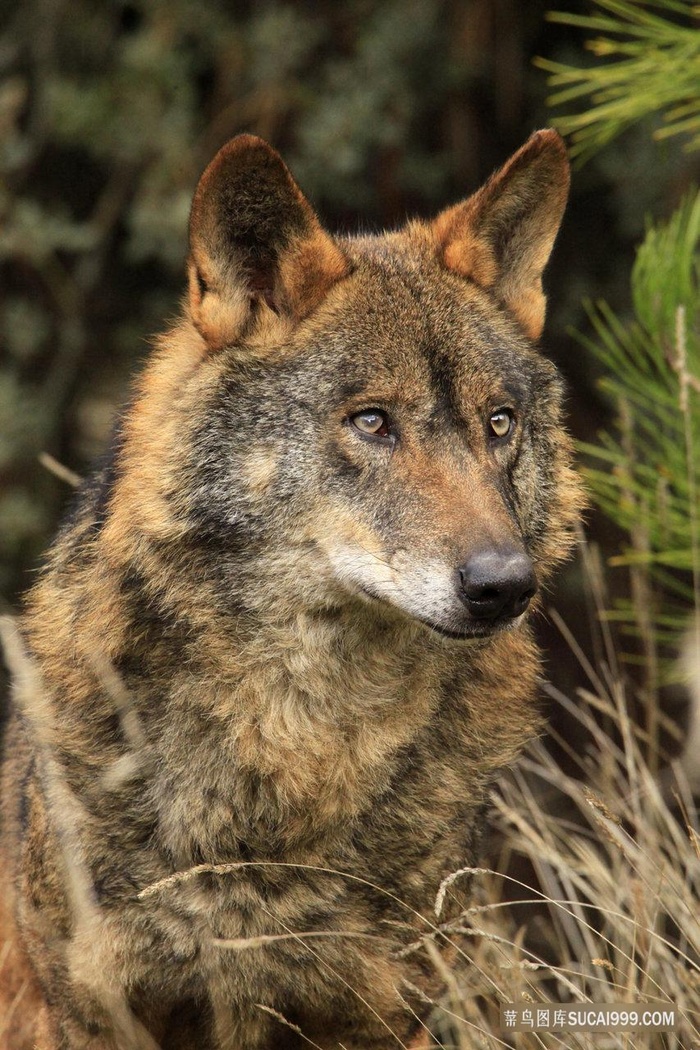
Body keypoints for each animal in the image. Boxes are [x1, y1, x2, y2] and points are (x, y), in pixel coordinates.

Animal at [0, 127, 579, 1045]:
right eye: (372, 421)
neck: (298, 746)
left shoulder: (382, 1013)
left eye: (500, 424)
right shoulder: (91, 1012)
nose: (504, 585)